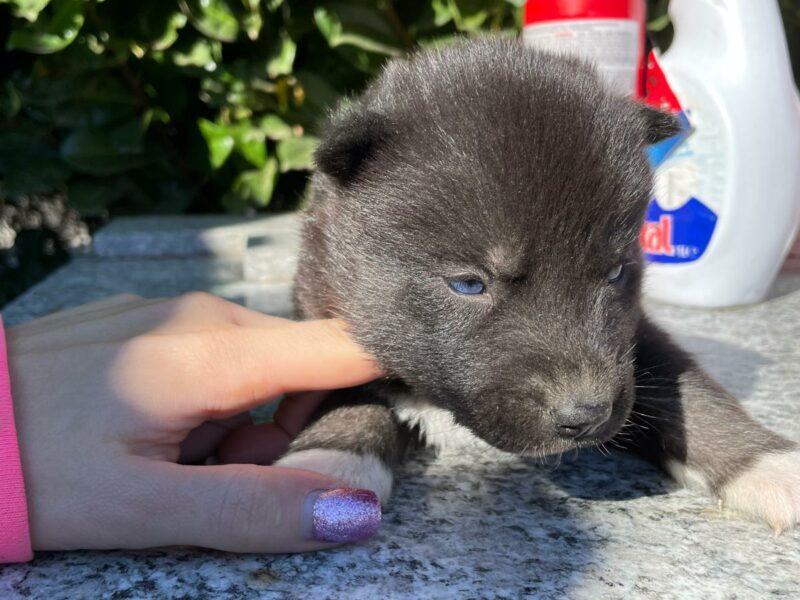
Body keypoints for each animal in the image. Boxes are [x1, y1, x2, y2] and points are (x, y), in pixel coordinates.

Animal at [272, 38, 796, 528]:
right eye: (469, 284)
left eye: (616, 272)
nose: (587, 416)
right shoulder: (324, 311)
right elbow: (347, 393)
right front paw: (330, 462)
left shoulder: (638, 335)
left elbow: (687, 385)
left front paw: (768, 464)